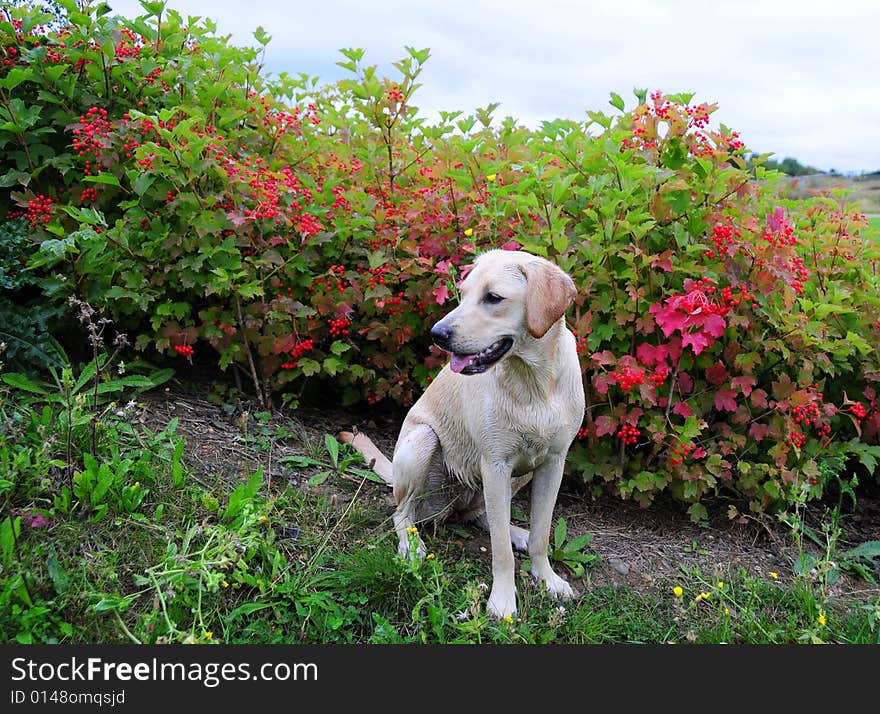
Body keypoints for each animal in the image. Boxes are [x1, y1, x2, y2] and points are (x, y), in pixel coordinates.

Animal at [340, 248, 580, 616]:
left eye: (493, 298)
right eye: (462, 293)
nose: (437, 334)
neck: (534, 382)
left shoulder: (553, 463)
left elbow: (540, 534)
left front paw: (547, 579)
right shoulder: (495, 464)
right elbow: (500, 553)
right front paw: (503, 601)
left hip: (515, 476)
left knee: (483, 516)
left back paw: (516, 532)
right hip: (423, 441)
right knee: (402, 513)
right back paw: (412, 546)